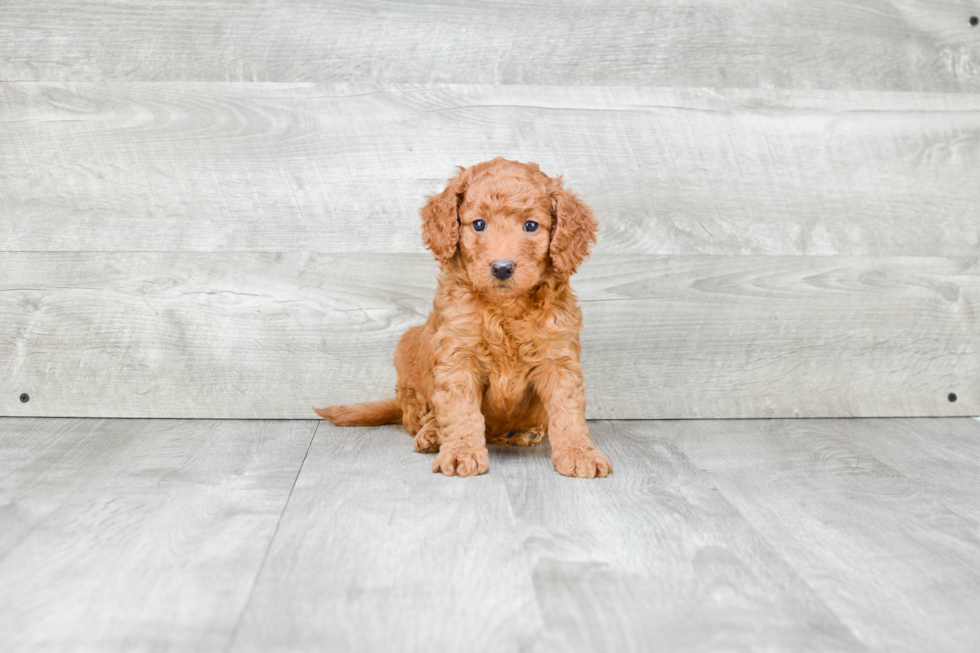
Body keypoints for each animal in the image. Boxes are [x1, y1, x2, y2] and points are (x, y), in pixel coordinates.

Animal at [318, 155, 612, 476]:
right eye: (479, 224)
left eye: (531, 225)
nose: (502, 268)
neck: (504, 308)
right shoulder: (457, 355)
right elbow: (460, 410)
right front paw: (461, 452)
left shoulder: (557, 357)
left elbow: (567, 410)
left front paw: (580, 453)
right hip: (408, 352)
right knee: (418, 416)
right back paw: (433, 434)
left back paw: (524, 432)